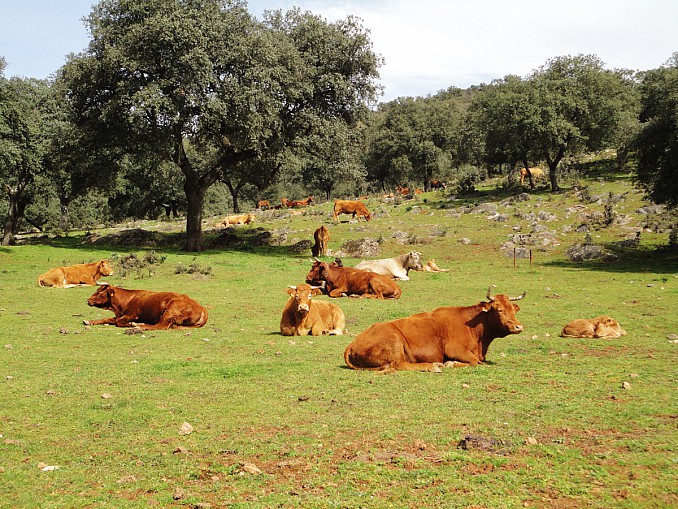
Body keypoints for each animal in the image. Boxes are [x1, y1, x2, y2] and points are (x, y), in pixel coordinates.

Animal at [343, 287, 525, 372]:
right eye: (499, 310)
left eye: (513, 309)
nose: (519, 327)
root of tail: (352, 344)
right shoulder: (454, 349)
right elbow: (474, 361)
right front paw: (451, 363)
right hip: (395, 341)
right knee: (400, 365)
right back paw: (433, 366)